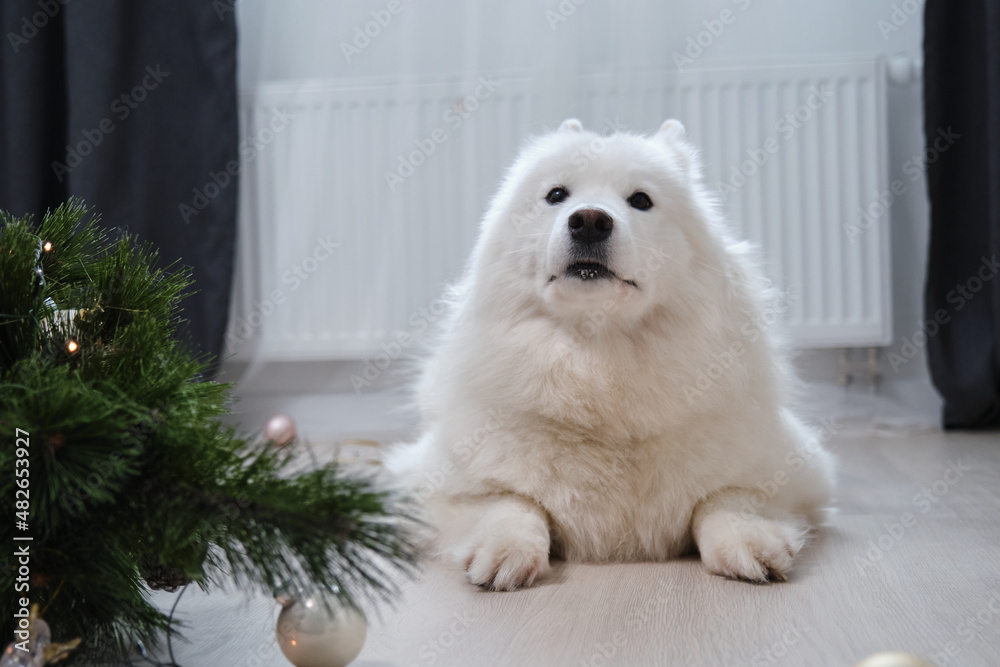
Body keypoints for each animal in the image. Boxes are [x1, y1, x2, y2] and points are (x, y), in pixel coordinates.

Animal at [388, 118, 836, 588]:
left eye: (640, 200)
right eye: (556, 195)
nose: (589, 220)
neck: (599, 358)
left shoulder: (796, 469)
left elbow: (726, 496)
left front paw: (748, 539)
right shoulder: (430, 481)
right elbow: (509, 500)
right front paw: (505, 549)